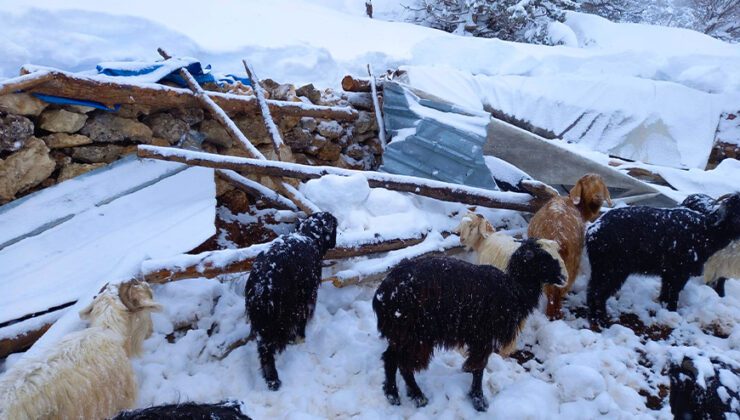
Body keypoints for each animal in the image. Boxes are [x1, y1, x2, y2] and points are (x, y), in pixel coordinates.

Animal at [246, 212, 338, 392]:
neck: (307, 235)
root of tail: (263, 285)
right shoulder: (307, 298)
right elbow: (302, 322)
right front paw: (300, 339)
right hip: (285, 313)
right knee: (270, 347)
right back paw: (274, 380)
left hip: (262, 321)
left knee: (263, 349)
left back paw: (270, 379)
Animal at [372, 238, 564, 412]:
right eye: (543, 259)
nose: (563, 278)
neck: (515, 289)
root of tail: (382, 293)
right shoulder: (484, 336)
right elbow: (479, 367)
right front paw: (478, 399)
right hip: (414, 334)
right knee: (403, 364)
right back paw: (417, 396)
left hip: (402, 334)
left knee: (391, 358)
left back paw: (393, 394)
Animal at [528, 174, 608, 318]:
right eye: (586, 184)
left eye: (601, 184)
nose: (598, 197)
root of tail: (558, 238)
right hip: (571, 263)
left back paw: (553, 314)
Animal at [588, 194, 740, 324]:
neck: (706, 231)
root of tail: (592, 231)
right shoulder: (679, 273)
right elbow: (673, 295)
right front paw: (673, 313)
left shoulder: (669, 273)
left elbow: (666, 293)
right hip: (612, 269)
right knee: (597, 293)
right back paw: (600, 319)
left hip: (601, 269)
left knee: (592, 290)